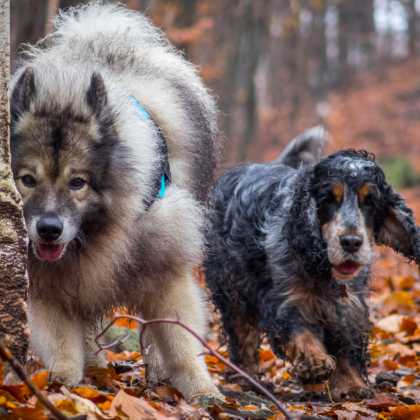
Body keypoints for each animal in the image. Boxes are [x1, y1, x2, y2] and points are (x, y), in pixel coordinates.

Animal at [8, 0, 221, 400]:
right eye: (27, 180)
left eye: (77, 182)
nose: (48, 229)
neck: (95, 235)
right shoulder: (49, 281)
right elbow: (61, 339)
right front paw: (63, 383)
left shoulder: (166, 265)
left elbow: (181, 341)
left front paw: (202, 390)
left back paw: (158, 371)